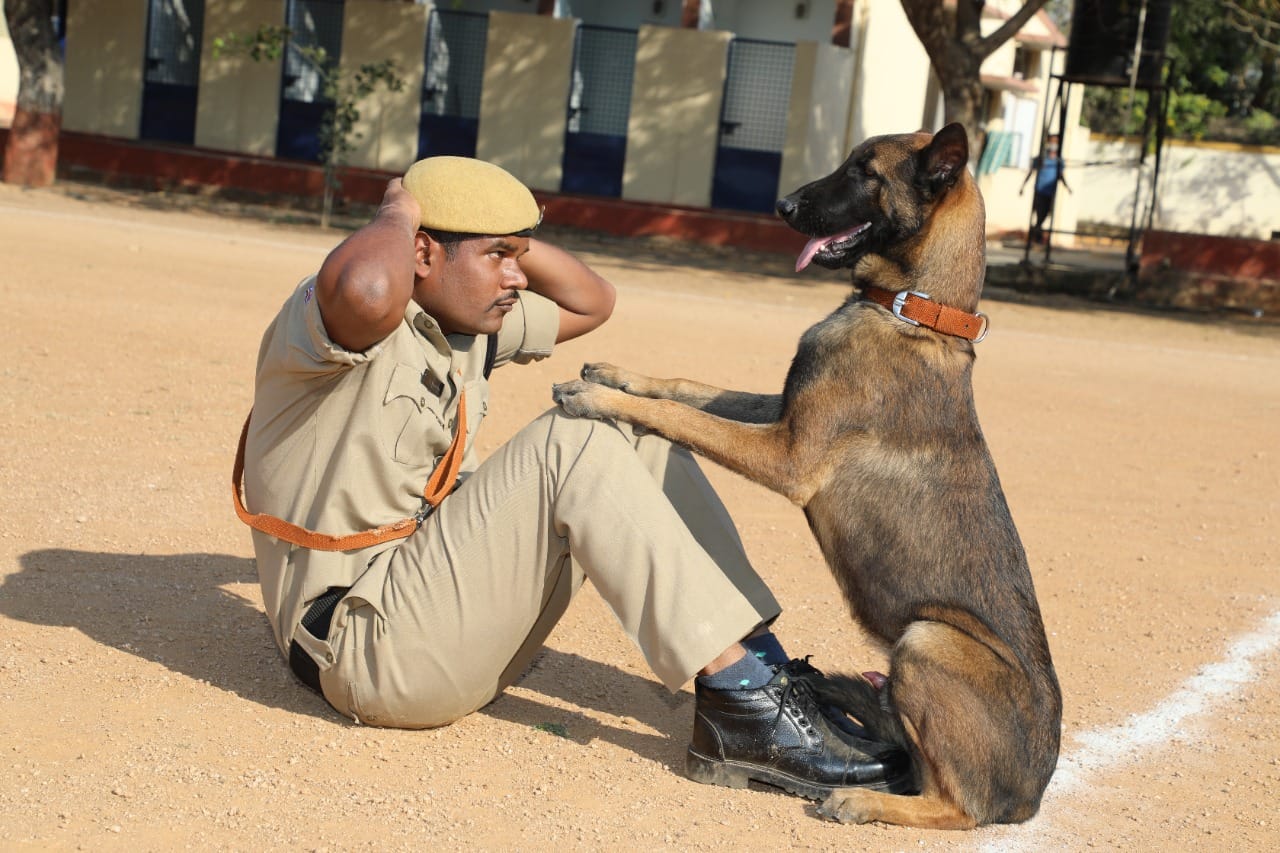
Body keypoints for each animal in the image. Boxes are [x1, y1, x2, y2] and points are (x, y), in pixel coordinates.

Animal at [550, 124, 1059, 824]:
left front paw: (600, 399)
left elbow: (682, 415)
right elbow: (689, 389)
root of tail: (1035, 789)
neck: (912, 309)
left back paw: (862, 800)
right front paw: (617, 376)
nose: (783, 205)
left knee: (954, 806)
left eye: (865, 171)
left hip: (927, 640)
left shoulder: (788, 456)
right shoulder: (782, 412)